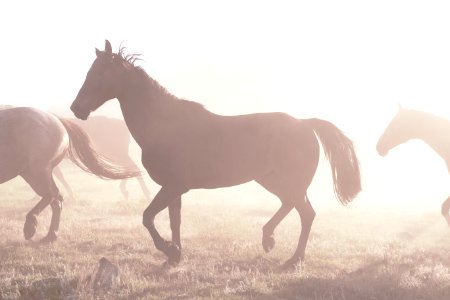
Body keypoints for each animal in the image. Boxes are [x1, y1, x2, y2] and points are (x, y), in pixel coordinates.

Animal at [0, 106, 141, 243]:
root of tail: (56, 120)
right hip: (36, 173)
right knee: (57, 199)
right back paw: (50, 235)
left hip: (36, 172)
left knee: (52, 195)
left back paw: (31, 227)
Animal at [70, 40, 362, 270]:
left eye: (100, 73)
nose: (76, 108)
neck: (164, 125)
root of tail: (305, 123)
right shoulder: (174, 189)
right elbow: (174, 221)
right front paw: (175, 255)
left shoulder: (174, 186)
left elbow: (147, 217)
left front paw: (170, 250)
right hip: (271, 180)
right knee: (296, 208)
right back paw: (273, 243)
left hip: (288, 182)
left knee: (305, 213)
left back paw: (287, 255)